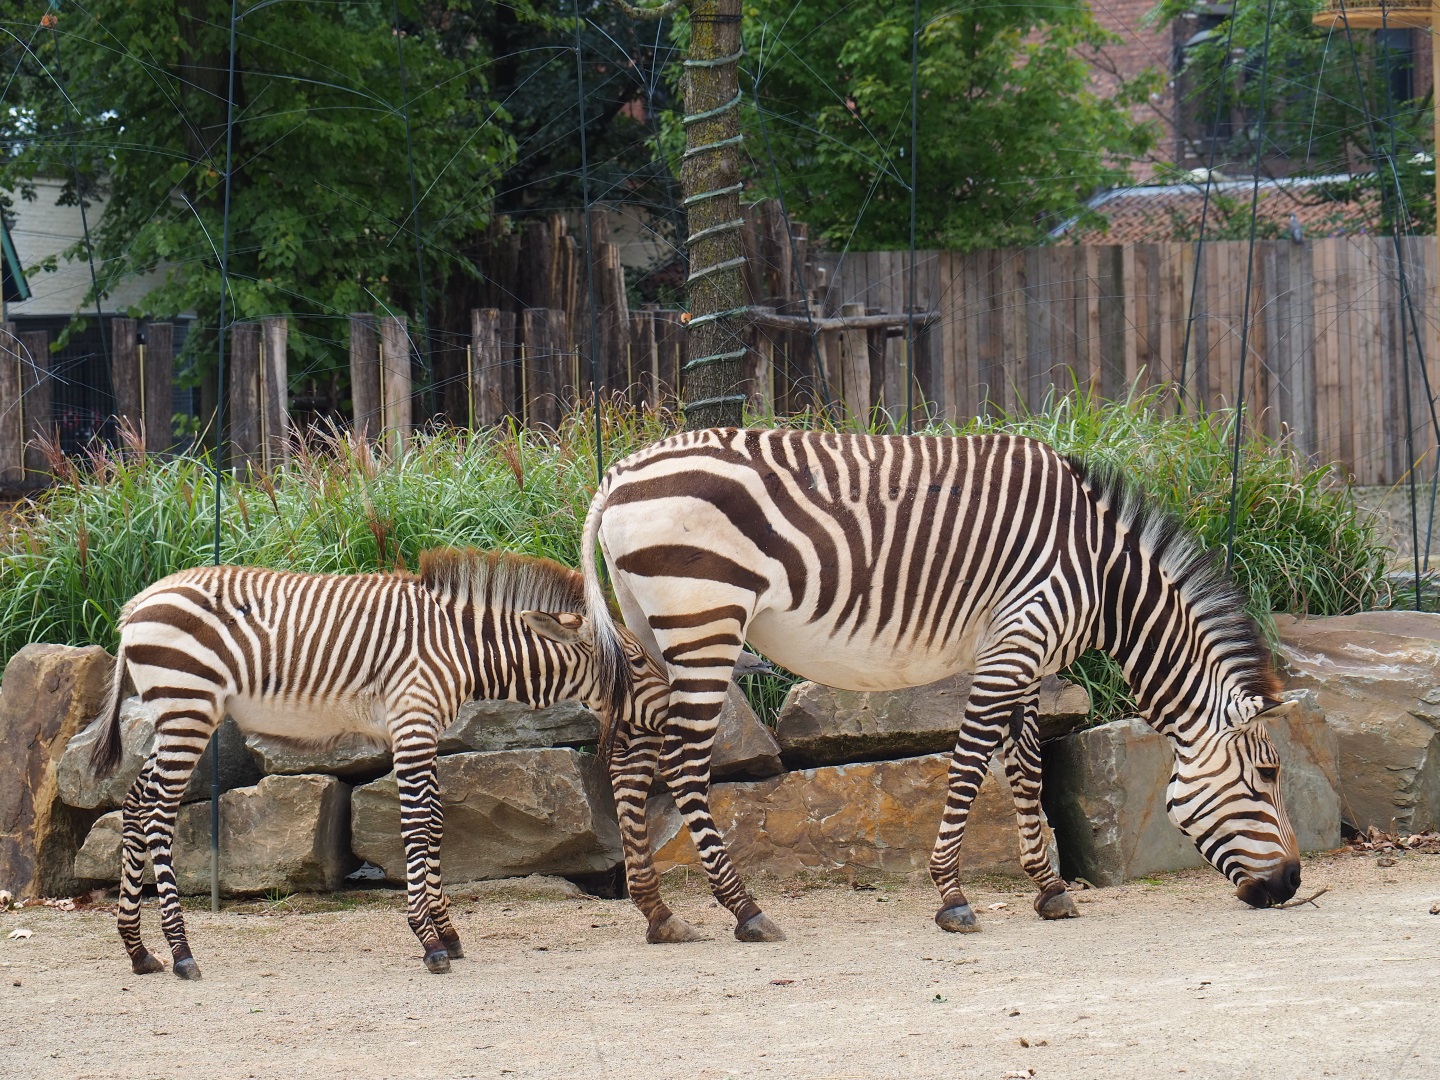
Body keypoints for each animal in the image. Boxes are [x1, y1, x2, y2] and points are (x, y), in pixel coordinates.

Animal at [89, 548, 669, 980]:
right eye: (637, 660)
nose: (675, 707)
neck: (462, 647)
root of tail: (136, 605)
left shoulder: (425, 728)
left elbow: (434, 824)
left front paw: (448, 933)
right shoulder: (412, 722)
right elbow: (416, 826)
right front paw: (429, 942)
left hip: (175, 716)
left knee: (136, 803)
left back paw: (138, 951)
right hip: (188, 709)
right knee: (159, 814)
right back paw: (182, 952)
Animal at [580, 428, 1302, 944]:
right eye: (1268, 774)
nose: (1292, 885)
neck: (1103, 576)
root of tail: (615, 475)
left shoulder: (1026, 658)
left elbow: (1025, 767)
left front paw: (1050, 891)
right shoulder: (1018, 642)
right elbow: (972, 763)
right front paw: (953, 897)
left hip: (653, 631)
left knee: (630, 759)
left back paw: (659, 914)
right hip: (705, 620)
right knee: (683, 765)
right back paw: (745, 911)